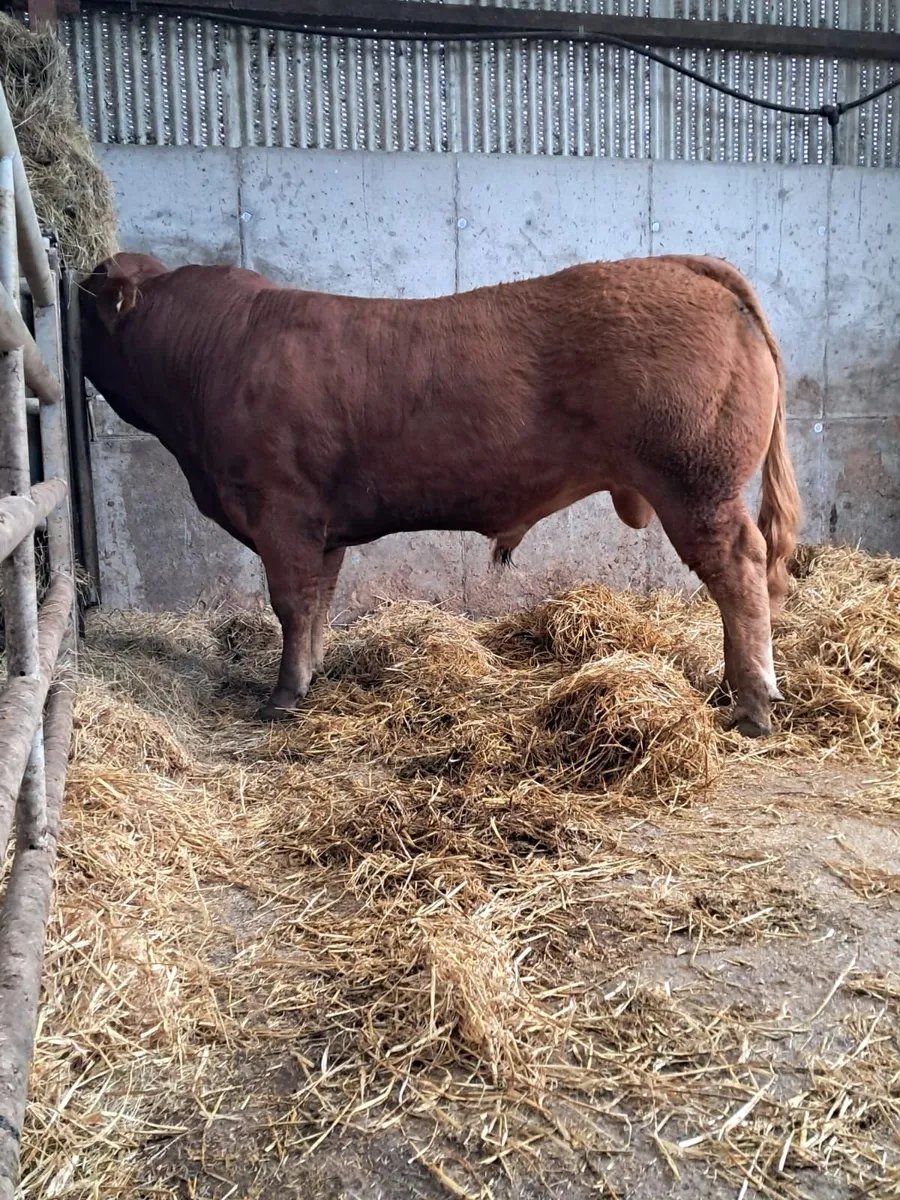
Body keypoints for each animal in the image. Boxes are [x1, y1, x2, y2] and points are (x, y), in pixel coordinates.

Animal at [79, 252, 800, 738]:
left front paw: (281, 697)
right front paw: (308, 675)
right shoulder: (323, 529)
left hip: (697, 484)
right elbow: (317, 605)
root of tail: (683, 265)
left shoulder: (281, 512)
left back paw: (752, 704)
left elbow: (290, 605)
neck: (215, 350)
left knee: (740, 570)